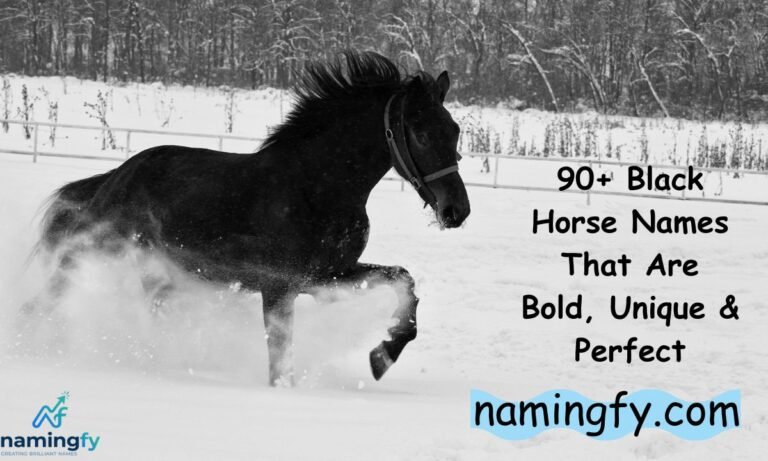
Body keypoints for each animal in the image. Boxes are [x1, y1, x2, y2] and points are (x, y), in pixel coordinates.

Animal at [29, 51, 471, 386]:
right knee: (59, 277)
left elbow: (404, 281)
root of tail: (119, 174)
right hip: (103, 245)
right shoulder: (278, 287)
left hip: (161, 271)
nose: (457, 211)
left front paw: (382, 356)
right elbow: (279, 357)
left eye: (454, 131)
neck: (316, 188)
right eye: (422, 134)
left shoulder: (327, 276)